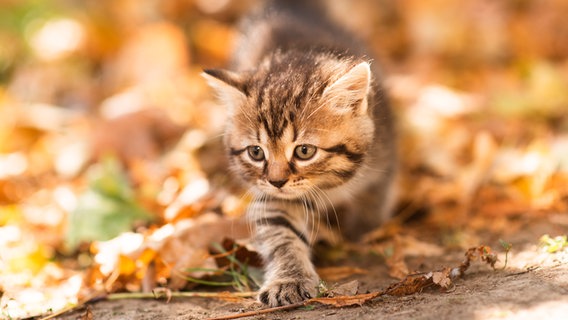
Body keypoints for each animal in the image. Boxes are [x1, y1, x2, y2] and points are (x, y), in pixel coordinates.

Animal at [203, 0, 394, 308]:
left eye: (304, 151)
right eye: (256, 152)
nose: (277, 181)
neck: (330, 186)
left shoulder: (385, 154)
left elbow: (374, 200)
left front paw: (361, 229)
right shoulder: (272, 197)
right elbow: (282, 234)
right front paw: (288, 280)